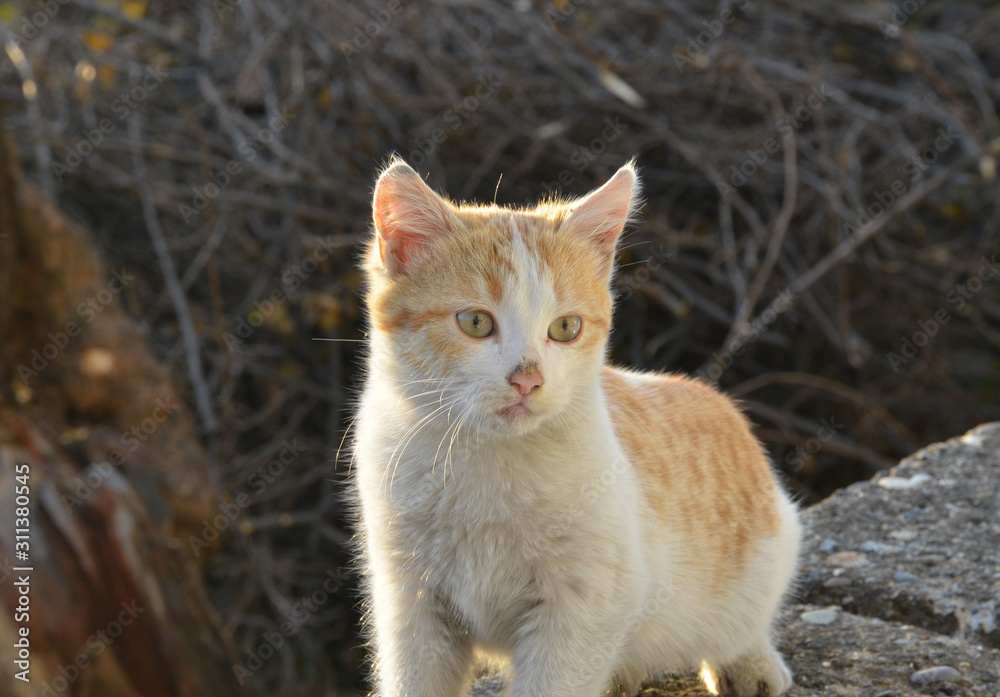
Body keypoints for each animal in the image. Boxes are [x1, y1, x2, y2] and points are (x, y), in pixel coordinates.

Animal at [352, 158, 796, 696]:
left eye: (565, 328)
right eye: (475, 322)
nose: (528, 379)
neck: (487, 466)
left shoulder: (584, 608)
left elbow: (553, 682)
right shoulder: (410, 598)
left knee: (744, 626)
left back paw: (750, 665)